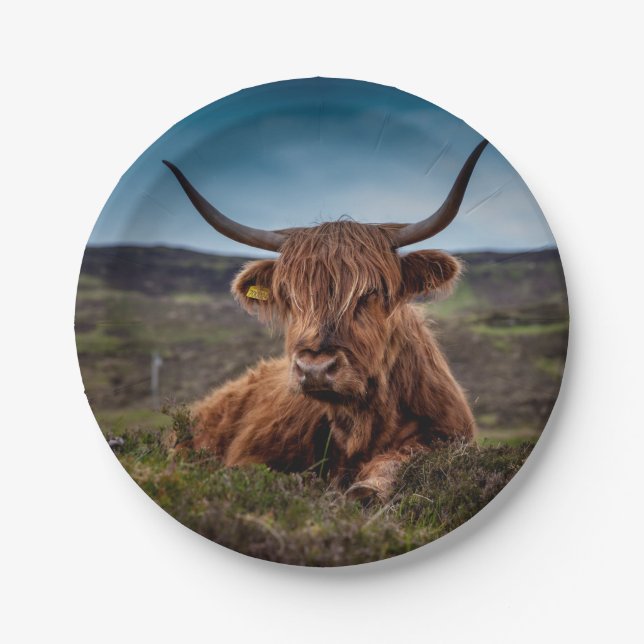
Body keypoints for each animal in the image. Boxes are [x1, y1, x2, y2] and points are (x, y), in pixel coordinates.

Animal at [162, 139, 487, 500]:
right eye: (290, 296)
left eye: (371, 292)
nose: (315, 368)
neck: (360, 425)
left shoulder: (447, 435)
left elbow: (400, 459)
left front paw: (367, 489)